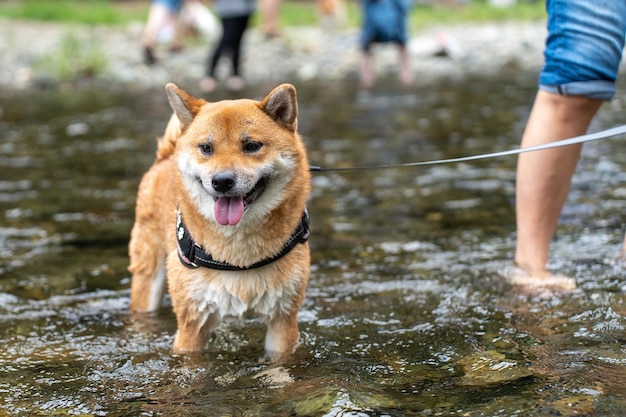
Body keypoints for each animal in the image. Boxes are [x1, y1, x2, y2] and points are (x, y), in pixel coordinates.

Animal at [129, 83, 310, 360]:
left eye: (252, 146)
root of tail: (166, 156)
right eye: (206, 148)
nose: (222, 181)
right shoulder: (192, 321)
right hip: (147, 273)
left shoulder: (283, 318)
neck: (239, 256)